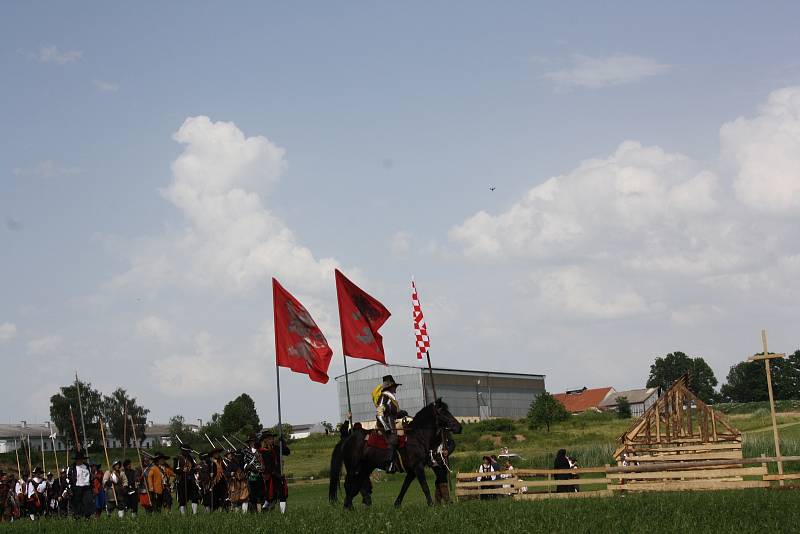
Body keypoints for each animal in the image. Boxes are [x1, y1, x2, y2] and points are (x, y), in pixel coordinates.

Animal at [326, 402, 462, 510]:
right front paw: (431, 505)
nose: (458, 427)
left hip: (366, 468)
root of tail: (347, 439)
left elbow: (404, 487)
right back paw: (349, 506)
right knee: (348, 484)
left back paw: (354, 504)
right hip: (352, 467)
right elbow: (424, 486)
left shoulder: (412, 471)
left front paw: (397, 504)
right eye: (443, 412)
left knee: (358, 485)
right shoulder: (418, 467)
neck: (417, 436)